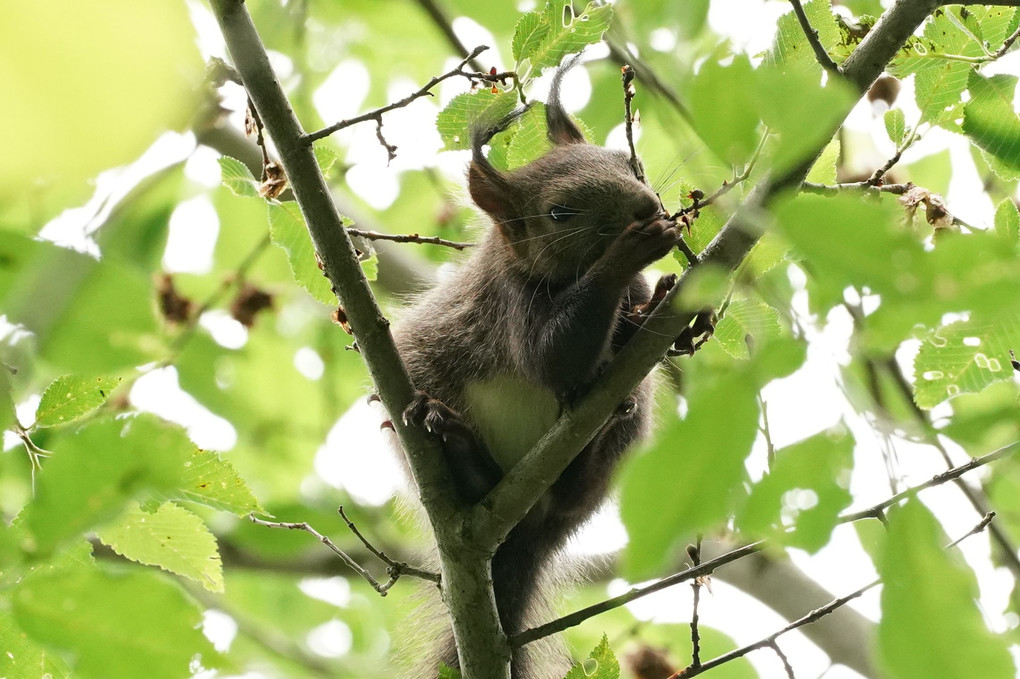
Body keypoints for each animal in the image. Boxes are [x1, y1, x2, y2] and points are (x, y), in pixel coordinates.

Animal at [393, 62, 681, 672]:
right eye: (559, 213)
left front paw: (668, 304)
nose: (645, 207)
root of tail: (524, 533)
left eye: (627, 162)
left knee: (580, 488)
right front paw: (631, 250)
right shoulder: (511, 302)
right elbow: (552, 357)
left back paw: (599, 430)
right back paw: (458, 449)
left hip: (619, 449)